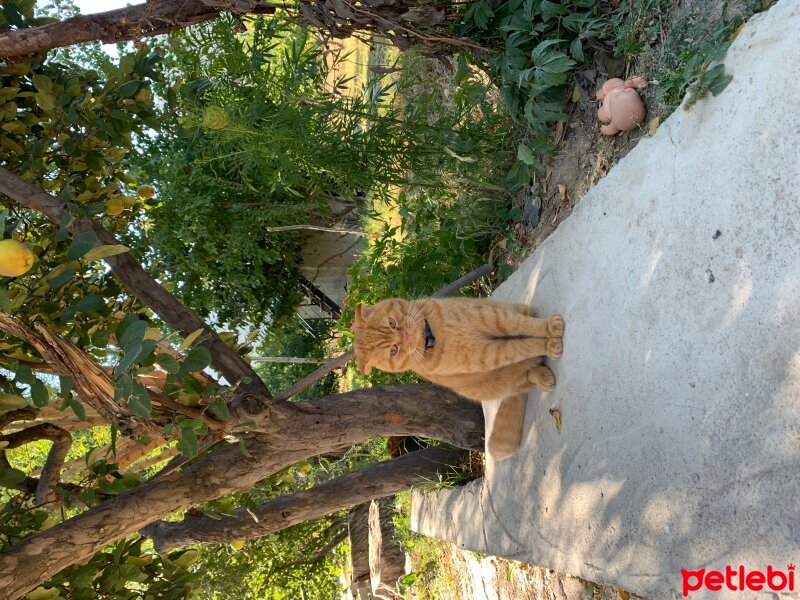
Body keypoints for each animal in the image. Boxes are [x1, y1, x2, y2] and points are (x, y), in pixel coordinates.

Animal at [350, 298, 564, 460]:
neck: (436, 333)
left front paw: (549, 327)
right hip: (501, 382)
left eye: (391, 323)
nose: (406, 335)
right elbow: (523, 347)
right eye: (393, 351)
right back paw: (542, 376)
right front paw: (549, 343)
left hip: (515, 309)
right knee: (525, 376)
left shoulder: (491, 317)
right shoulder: (489, 354)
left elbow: (523, 325)